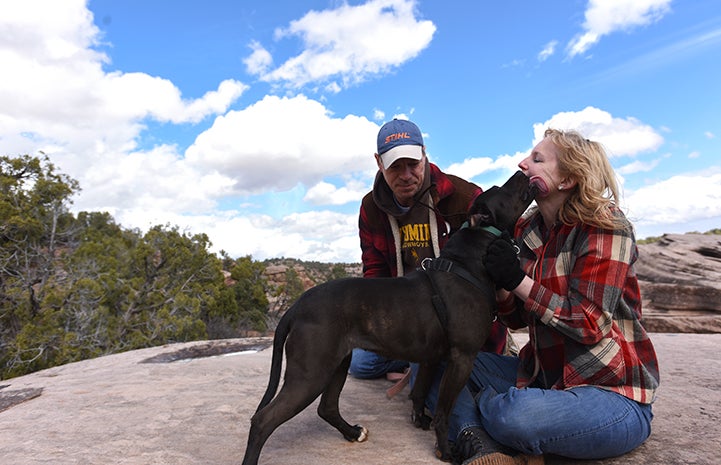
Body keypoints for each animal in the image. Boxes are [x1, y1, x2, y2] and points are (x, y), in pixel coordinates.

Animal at [242, 171, 536, 464]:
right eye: (501, 188)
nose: (522, 172)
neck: (468, 263)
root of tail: (296, 307)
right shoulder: (462, 359)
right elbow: (444, 413)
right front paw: (445, 451)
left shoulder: (432, 359)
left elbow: (419, 392)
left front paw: (419, 420)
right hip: (311, 373)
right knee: (263, 420)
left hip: (337, 362)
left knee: (326, 407)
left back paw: (352, 432)